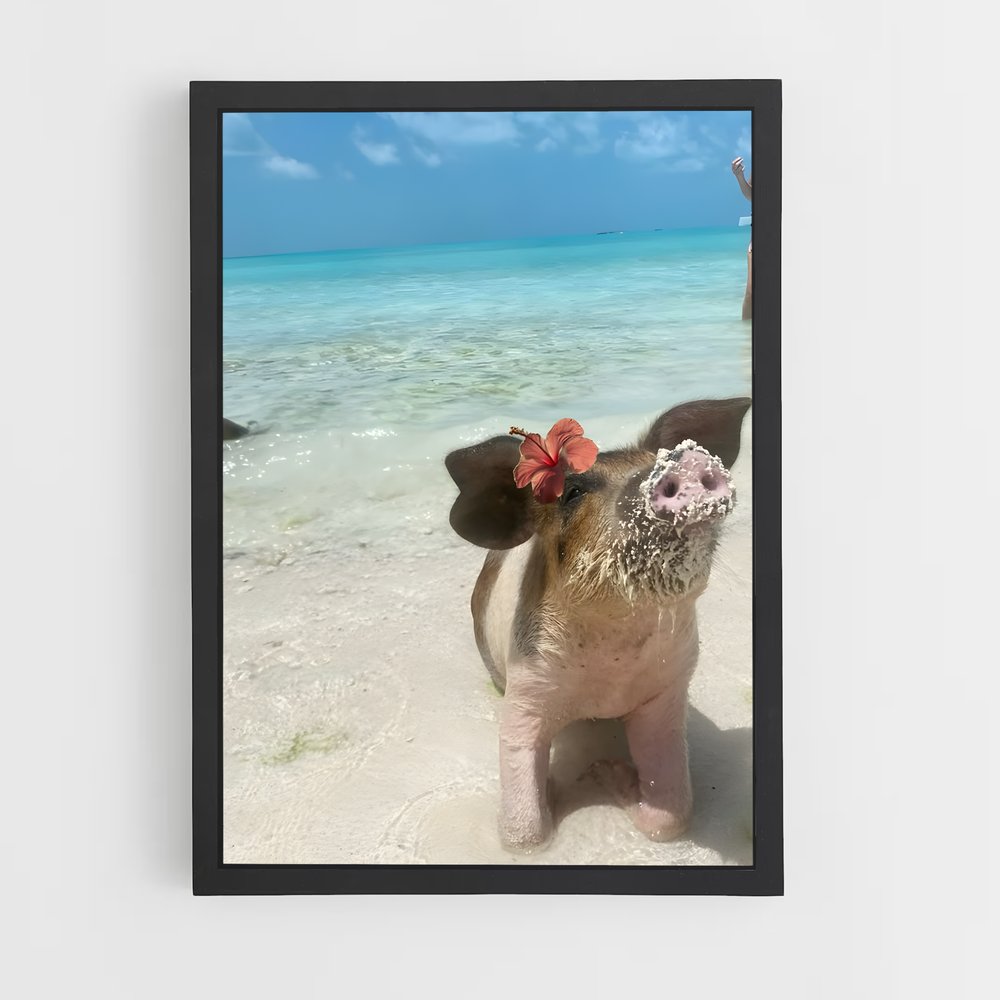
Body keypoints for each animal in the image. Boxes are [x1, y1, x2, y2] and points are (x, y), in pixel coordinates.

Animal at [445, 397, 751, 849]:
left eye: (660, 458)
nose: (681, 465)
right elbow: (523, 832)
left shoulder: (668, 689)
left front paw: (606, 771)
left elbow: (672, 816)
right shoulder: (525, 689)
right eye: (573, 492)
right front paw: (562, 787)